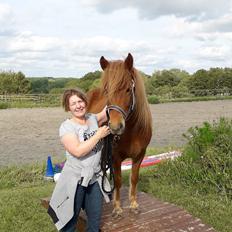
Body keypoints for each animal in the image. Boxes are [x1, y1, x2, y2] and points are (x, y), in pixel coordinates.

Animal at [87, 53, 152, 216]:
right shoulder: (115, 157)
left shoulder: (140, 155)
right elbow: (117, 180)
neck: (132, 131)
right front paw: (117, 207)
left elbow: (134, 178)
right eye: (106, 91)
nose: (115, 127)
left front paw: (133, 204)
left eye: (129, 89)